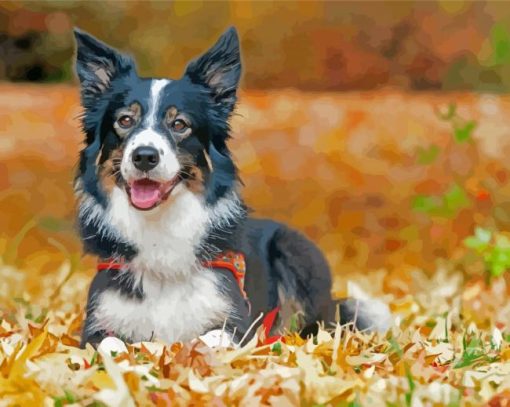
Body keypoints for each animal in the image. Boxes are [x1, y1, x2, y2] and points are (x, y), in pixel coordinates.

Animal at [72, 27, 390, 350]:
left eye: (179, 124)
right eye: (125, 120)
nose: (145, 156)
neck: (159, 227)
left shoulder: (237, 322)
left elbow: (207, 339)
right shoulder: (95, 326)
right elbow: (112, 346)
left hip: (294, 251)